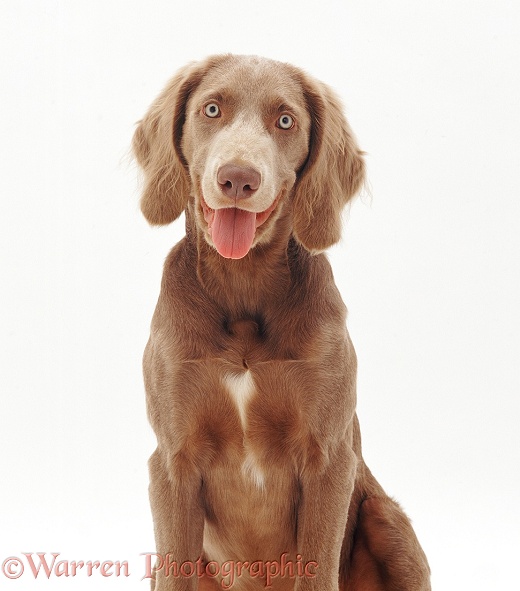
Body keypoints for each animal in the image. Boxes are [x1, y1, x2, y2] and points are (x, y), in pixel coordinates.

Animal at [133, 55, 430, 591]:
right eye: (212, 109)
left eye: (286, 120)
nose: (237, 178)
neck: (244, 289)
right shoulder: (171, 461)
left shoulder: (329, 459)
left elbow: (317, 567)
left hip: (386, 515)